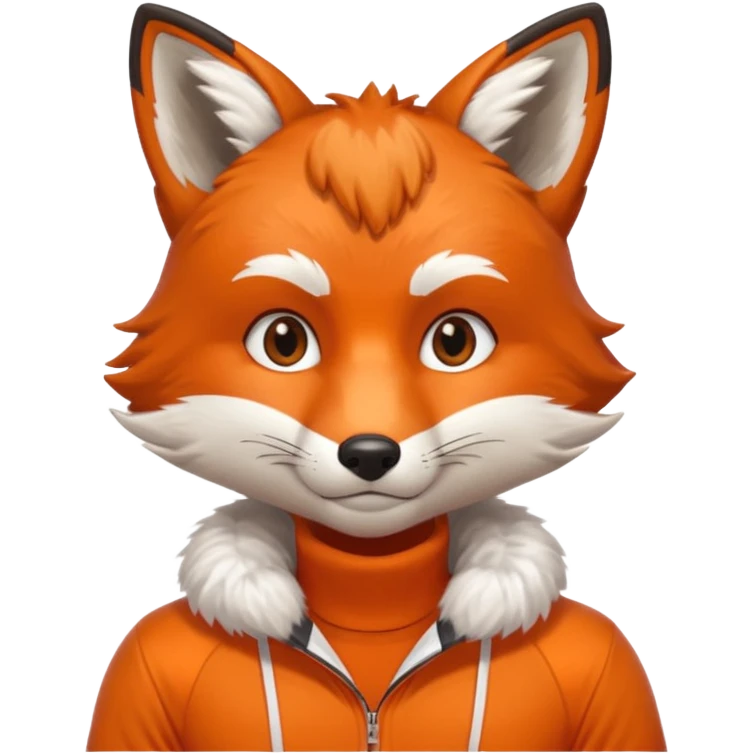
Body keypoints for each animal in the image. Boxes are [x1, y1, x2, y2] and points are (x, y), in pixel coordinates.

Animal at [90, 2, 666, 752]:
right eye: (283, 341)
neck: (371, 589)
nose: (368, 453)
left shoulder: (610, 661)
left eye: (454, 341)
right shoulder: (139, 664)